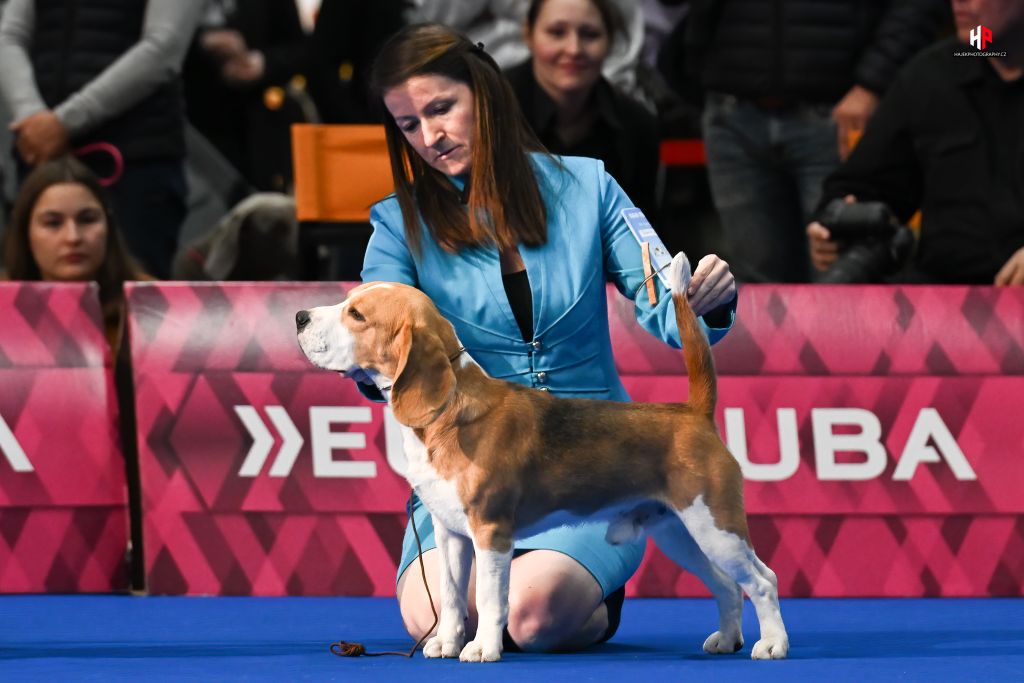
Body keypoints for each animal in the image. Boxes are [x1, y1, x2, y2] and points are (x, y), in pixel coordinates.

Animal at [296, 253, 790, 659]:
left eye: (356, 315)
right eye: (349, 300)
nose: (299, 315)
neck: (449, 410)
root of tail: (692, 412)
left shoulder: (491, 531)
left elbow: (491, 598)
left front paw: (482, 648)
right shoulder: (450, 533)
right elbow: (452, 597)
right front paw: (448, 642)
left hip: (716, 527)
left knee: (764, 580)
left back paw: (772, 644)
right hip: (681, 532)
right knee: (728, 586)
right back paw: (728, 639)